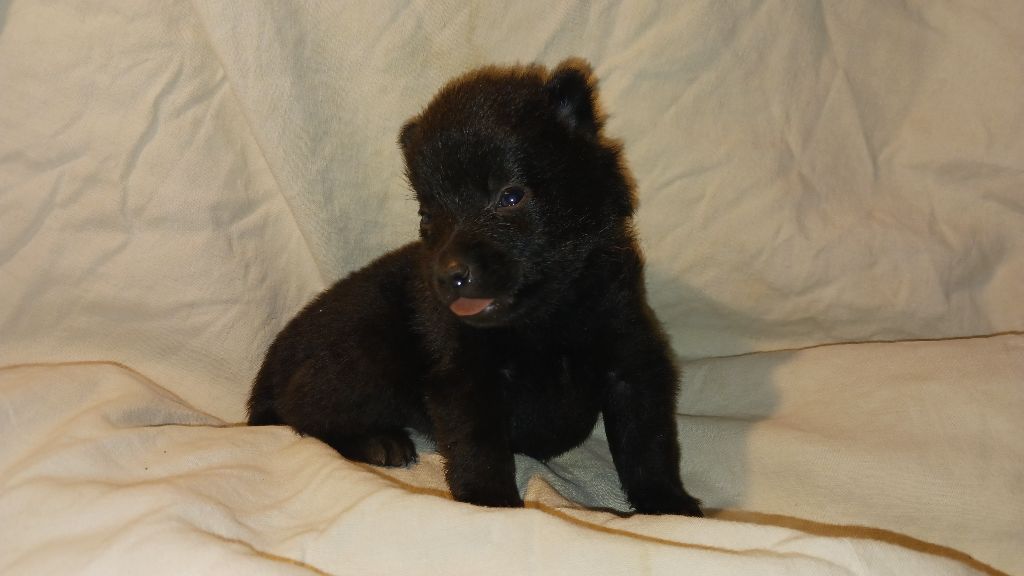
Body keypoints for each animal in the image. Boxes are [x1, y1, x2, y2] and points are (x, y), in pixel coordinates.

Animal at [249, 60, 704, 512]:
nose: (449, 277)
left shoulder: (630, 355)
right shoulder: (463, 376)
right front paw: (490, 504)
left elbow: (646, 441)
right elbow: (477, 446)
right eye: (427, 215)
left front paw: (667, 503)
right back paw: (378, 442)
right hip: (365, 353)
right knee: (300, 411)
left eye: (511, 196)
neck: (544, 318)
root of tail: (272, 364)